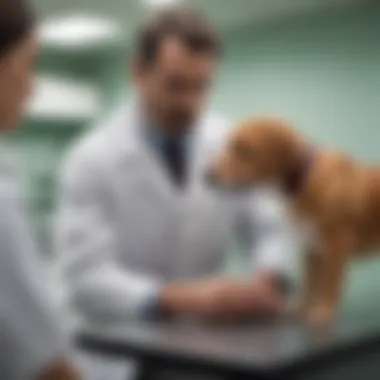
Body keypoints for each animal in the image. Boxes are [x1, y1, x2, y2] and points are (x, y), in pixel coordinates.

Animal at [209, 117, 380, 326]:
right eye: (228, 145)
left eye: (244, 149)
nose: (207, 175)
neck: (303, 180)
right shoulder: (311, 248)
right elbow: (309, 284)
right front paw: (300, 308)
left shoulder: (336, 247)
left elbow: (329, 284)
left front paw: (324, 312)